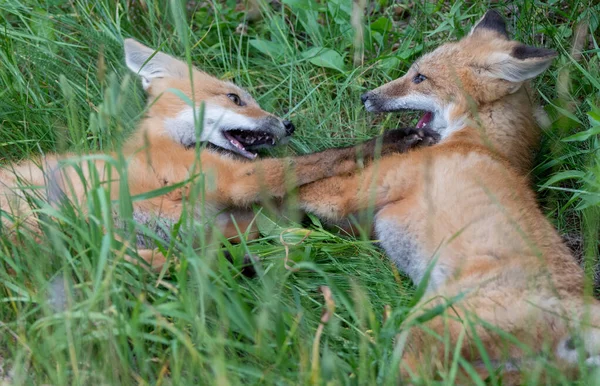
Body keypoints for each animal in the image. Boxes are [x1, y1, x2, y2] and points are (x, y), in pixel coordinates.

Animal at [0, 38, 434, 268]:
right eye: (235, 98)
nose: (288, 124)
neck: (169, 144)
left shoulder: (235, 216)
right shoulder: (233, 181)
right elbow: (325, 158)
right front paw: (393, 140)